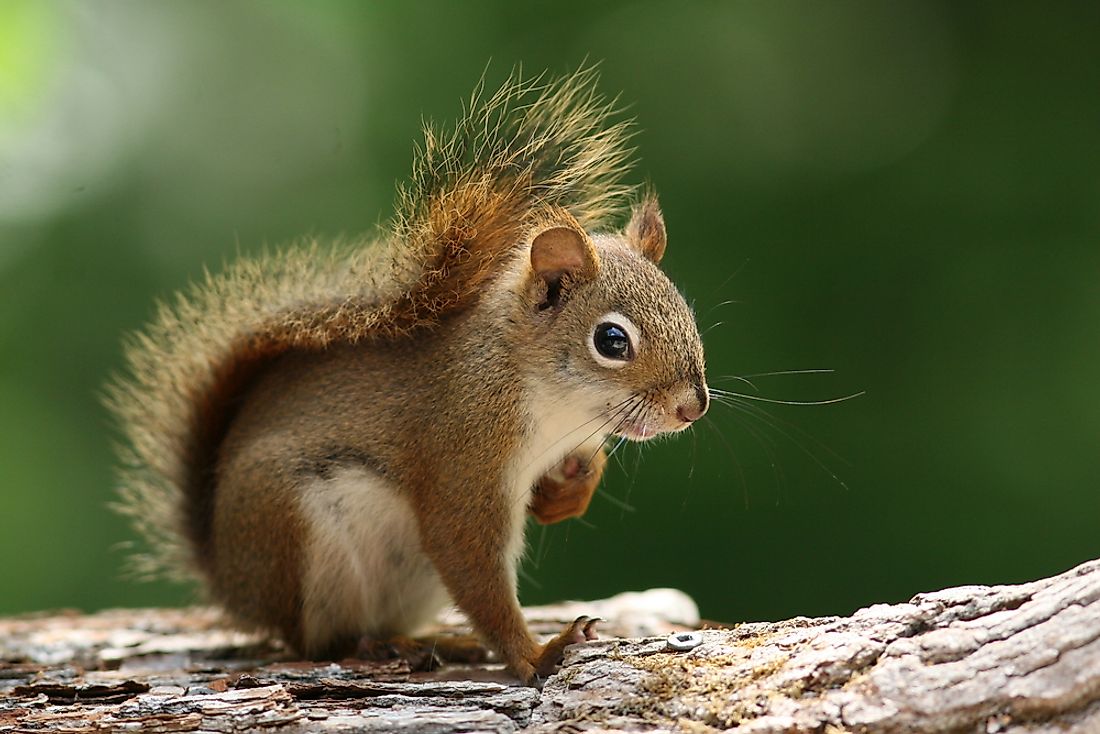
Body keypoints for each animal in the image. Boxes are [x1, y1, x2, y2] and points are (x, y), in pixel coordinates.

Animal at [107, 68, 708, 682]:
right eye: (612, 341)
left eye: (686, 311)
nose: (693, 406)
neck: (555, 406)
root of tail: (234, 584)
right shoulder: (461, 454)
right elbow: (469, 557)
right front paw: (536, 653)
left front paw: (568, 495)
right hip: (297, 534)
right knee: (317, 640)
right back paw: (378, 647)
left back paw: (442, 641)